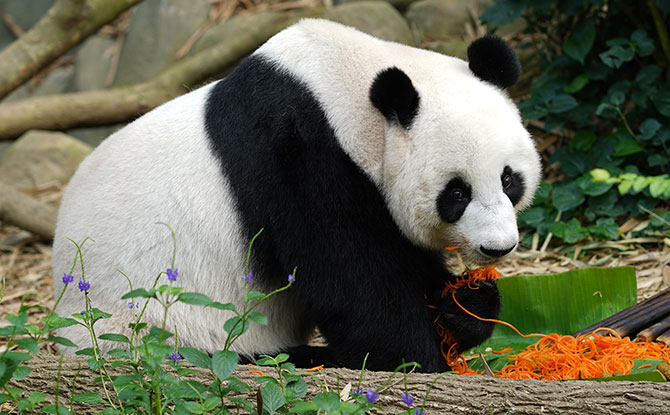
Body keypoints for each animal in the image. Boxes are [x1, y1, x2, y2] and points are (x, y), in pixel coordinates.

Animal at [53, 18, 544, 374]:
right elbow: (352, 275)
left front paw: (465, 306)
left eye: (509, 180)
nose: (497, 247)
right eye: (456, 192)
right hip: (158, 328)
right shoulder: (297, 156)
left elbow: (403, 258)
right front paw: (415, 361)